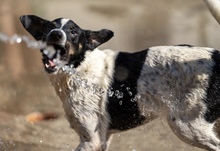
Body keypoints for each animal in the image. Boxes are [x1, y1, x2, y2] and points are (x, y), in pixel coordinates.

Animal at [19, 14, 220, 151]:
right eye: (49, 28)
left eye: (73, 32)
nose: (55, 34)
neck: (79, 68)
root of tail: (216, 56)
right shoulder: (102, 140)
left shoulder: (91, 140)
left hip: (188, 127)